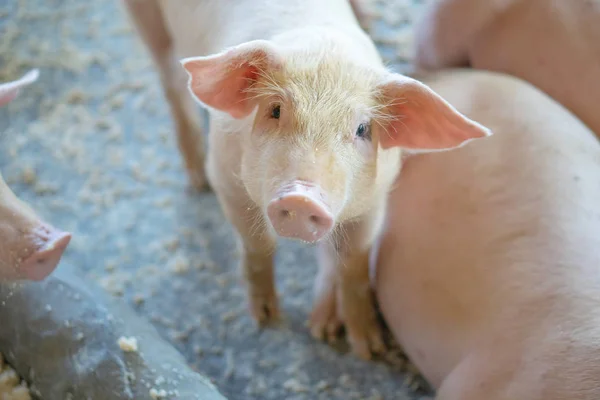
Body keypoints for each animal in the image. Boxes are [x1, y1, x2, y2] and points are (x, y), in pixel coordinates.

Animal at [122, 0, 492, 360]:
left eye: (362, 129)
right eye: (275, 110)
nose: (301, 198)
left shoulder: (374, 200)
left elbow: (354, 263)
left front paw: (368, 349)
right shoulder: (226, 179)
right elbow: (258, 245)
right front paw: (266, 318)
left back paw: (368, 17)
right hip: (147, 20)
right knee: (170, 83)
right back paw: (197, 180)